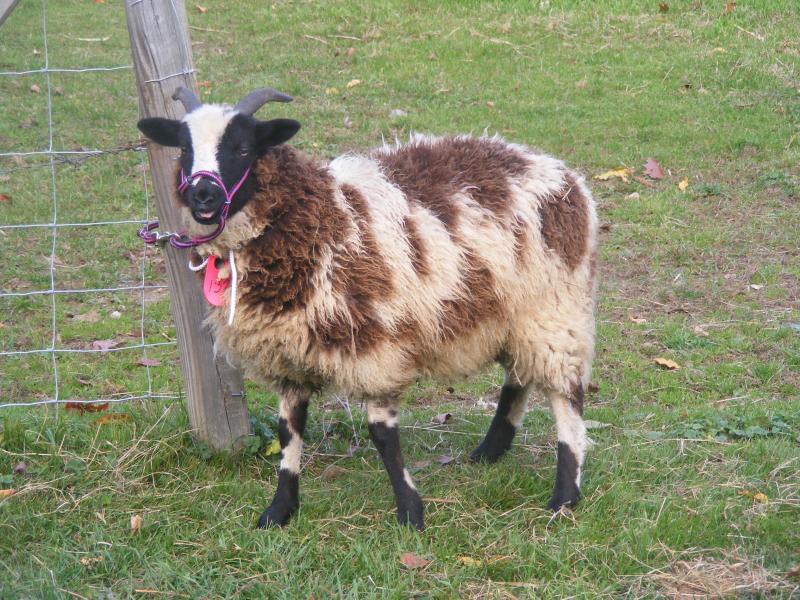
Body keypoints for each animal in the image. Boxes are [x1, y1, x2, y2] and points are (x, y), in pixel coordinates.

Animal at [137, 86, 598, 531]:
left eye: (244, 147)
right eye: (183, 149)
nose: (203, 194)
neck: (317, 218)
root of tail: (557, 170)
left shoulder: (374, 344)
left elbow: (382, 435)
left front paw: (410, 512)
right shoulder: (287, 355)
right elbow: (289, 431)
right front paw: (279, 510)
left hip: (554, 308)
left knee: (566, 397)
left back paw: (564, 496)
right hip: (511, 314)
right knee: (519, 377)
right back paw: (489, 451)